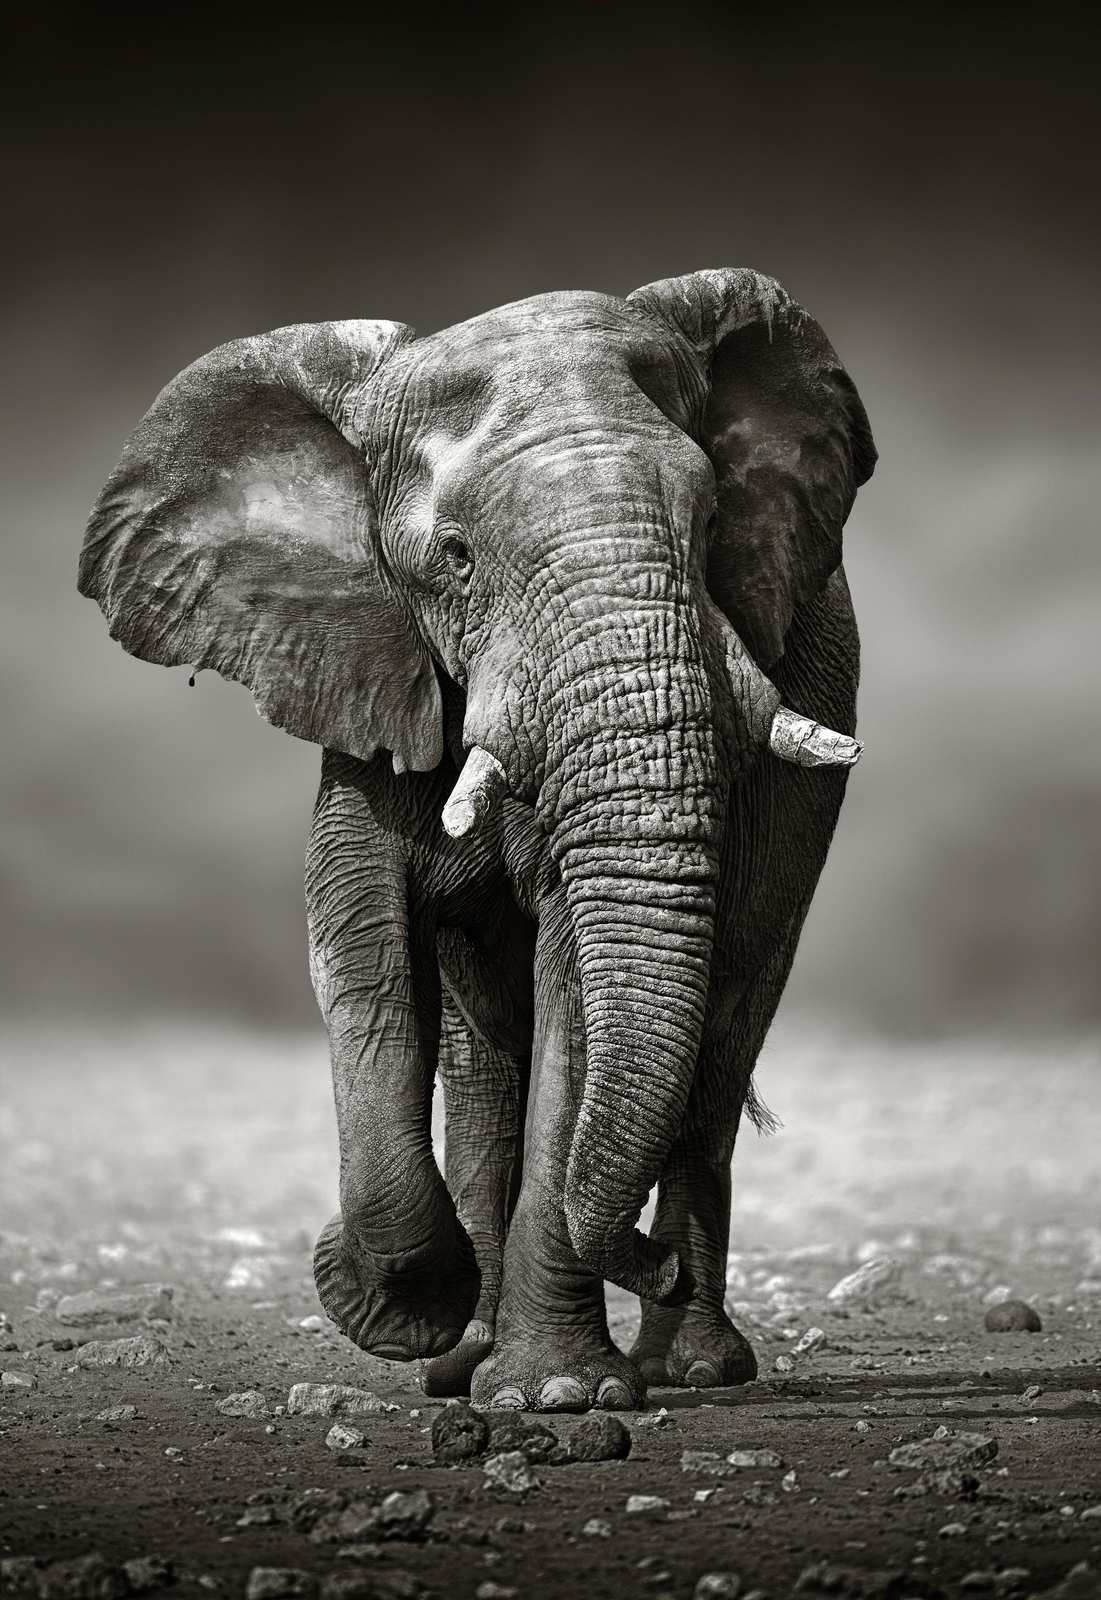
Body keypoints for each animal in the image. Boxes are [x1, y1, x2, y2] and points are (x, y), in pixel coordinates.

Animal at [78, 267, 875, 1412]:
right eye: (453, 560)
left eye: (714, 518)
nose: (647, 1262)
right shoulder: (368, 666)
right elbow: (360, 946)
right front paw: (404, 1309)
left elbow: (575, 981)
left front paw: (559, 1396)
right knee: (484, 1061)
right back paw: (468, 1358)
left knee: (721, 1033)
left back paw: (687, 1366)